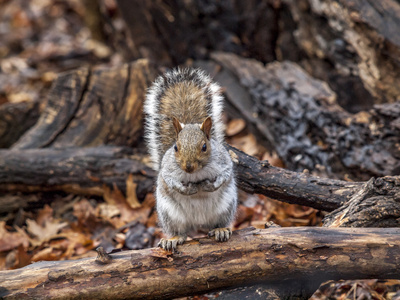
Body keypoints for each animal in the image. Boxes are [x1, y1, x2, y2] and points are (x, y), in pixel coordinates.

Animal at [144, 68, 238, 251]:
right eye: (176, 147)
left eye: (204, 147)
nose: (188, 167)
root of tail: (199, 222)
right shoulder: (168, 170)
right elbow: (170, 180)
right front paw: (187, 190)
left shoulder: (223, 162)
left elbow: (224, 175)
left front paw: (210, 186)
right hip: (170, 214)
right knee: (180, 231)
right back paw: (173, 239)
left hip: (226, 206)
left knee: (218, 223)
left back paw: (220, 230)